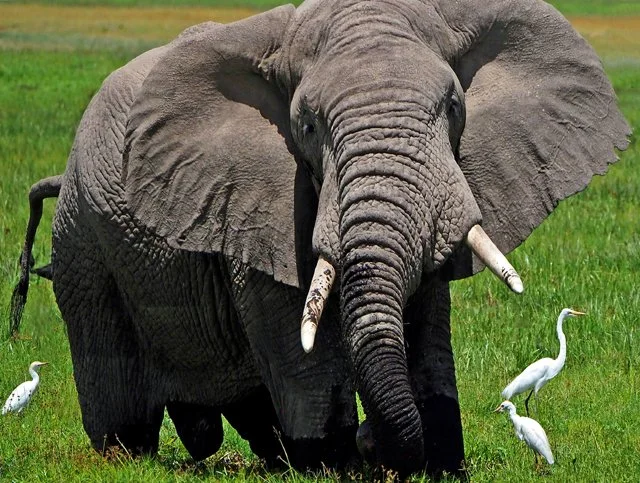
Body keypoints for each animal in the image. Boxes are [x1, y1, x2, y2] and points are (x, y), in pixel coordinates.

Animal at [11, 0, 629, 477]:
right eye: (307, 126)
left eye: (454, 107)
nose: (370, 440)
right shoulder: (253, 203)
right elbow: (297, 340)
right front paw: (336, 460)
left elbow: (426, 318)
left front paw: (436, 460)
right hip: (84, 247)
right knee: (119, 399)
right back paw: (127, 455)